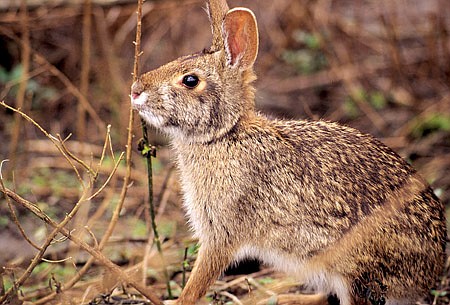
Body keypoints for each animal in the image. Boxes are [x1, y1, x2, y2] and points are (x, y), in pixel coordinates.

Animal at [130, 0, 446, 304]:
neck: (224, 135)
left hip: (357, 270)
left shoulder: (221, 234)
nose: (135, 90)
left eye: (190, 80)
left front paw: (178, 300)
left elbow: (198, 282)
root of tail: (430, 273)